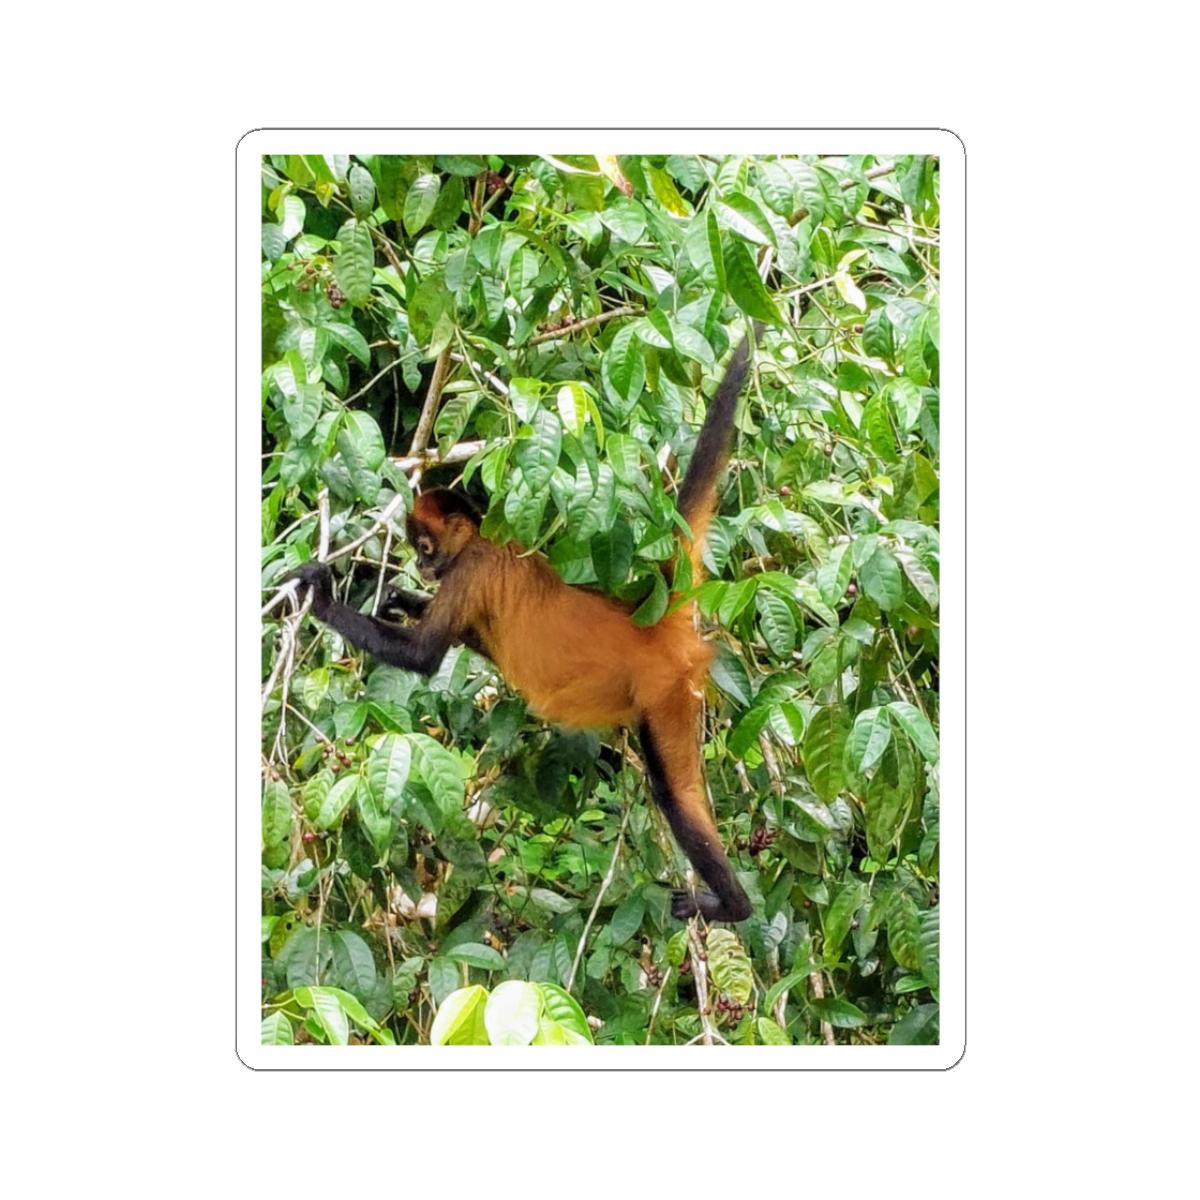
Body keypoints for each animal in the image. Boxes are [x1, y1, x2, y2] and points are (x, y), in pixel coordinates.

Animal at [289, 325, 763, 923]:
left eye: (425, 546)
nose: (421, 566)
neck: (486, 541)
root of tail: (649, 624)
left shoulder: (469, 569)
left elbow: (424, 655)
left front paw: (324, 600)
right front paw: (400, 598)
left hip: (666, 690)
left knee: (674, 793)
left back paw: (734, 906)